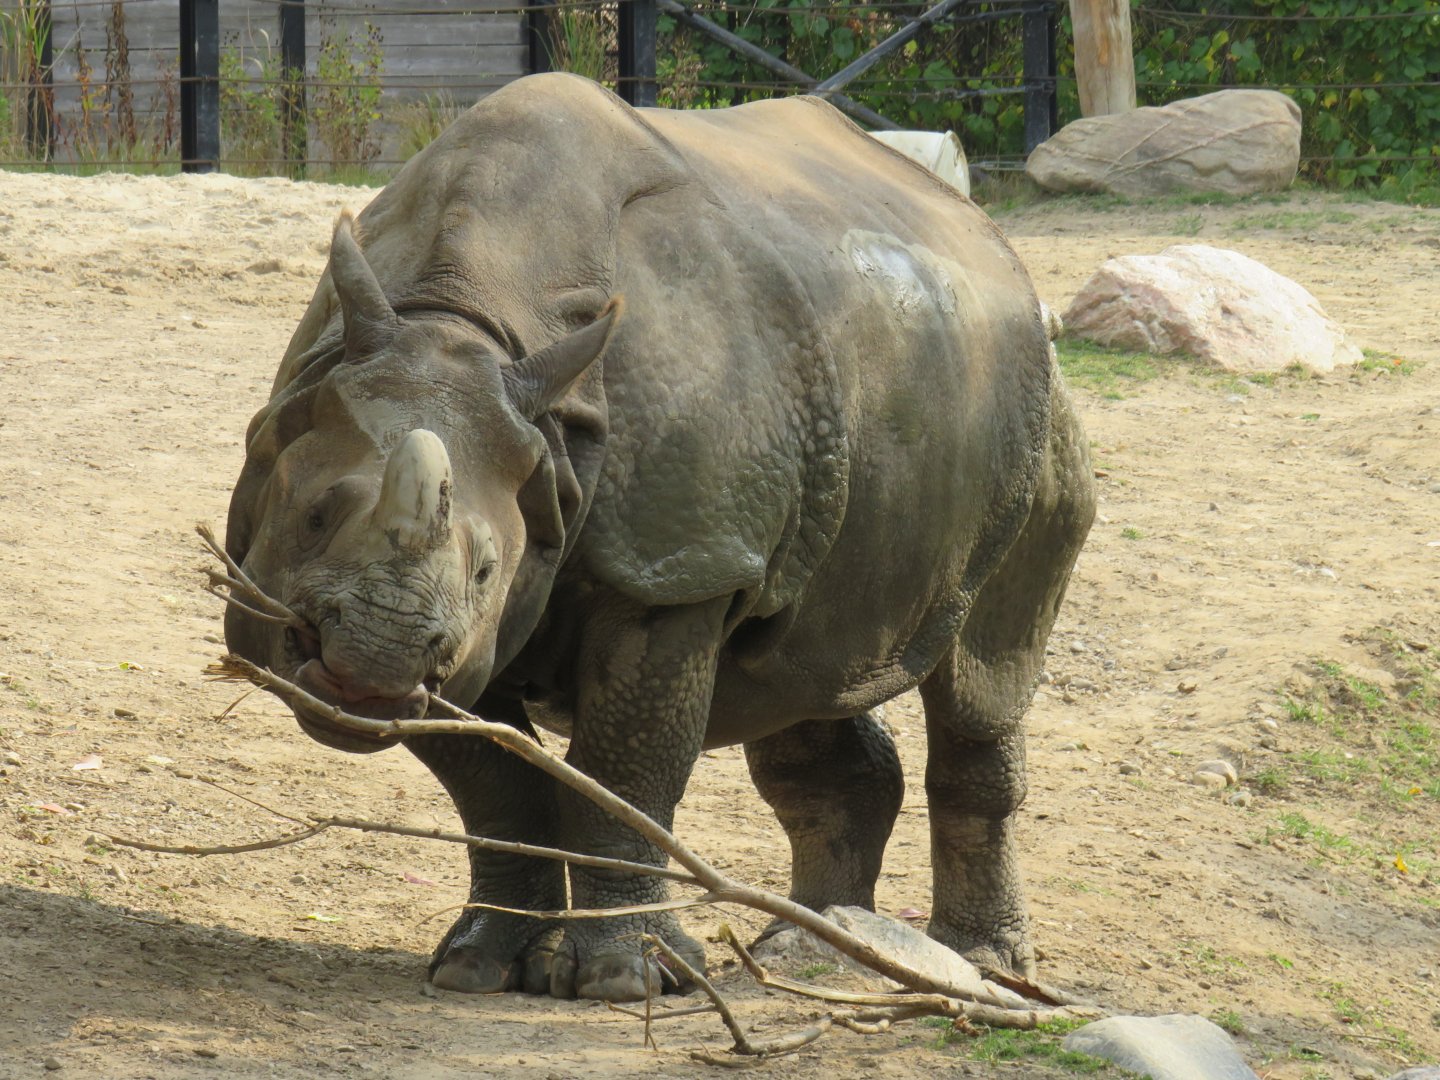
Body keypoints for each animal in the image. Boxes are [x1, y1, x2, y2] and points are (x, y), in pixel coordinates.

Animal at [224, 73, 1095, 1003]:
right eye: (315, 518)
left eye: (487, 565)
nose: (371, 664)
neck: (465, 319)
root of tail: (989, 233)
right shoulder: (484, 625)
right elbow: (498, 786)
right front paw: (476, 966)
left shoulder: (679, 568)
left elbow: (626, 770)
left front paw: (622, 980)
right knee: (798, 674)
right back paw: (817, 949)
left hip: (1037, 410)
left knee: (981, 676)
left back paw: (979, 968)